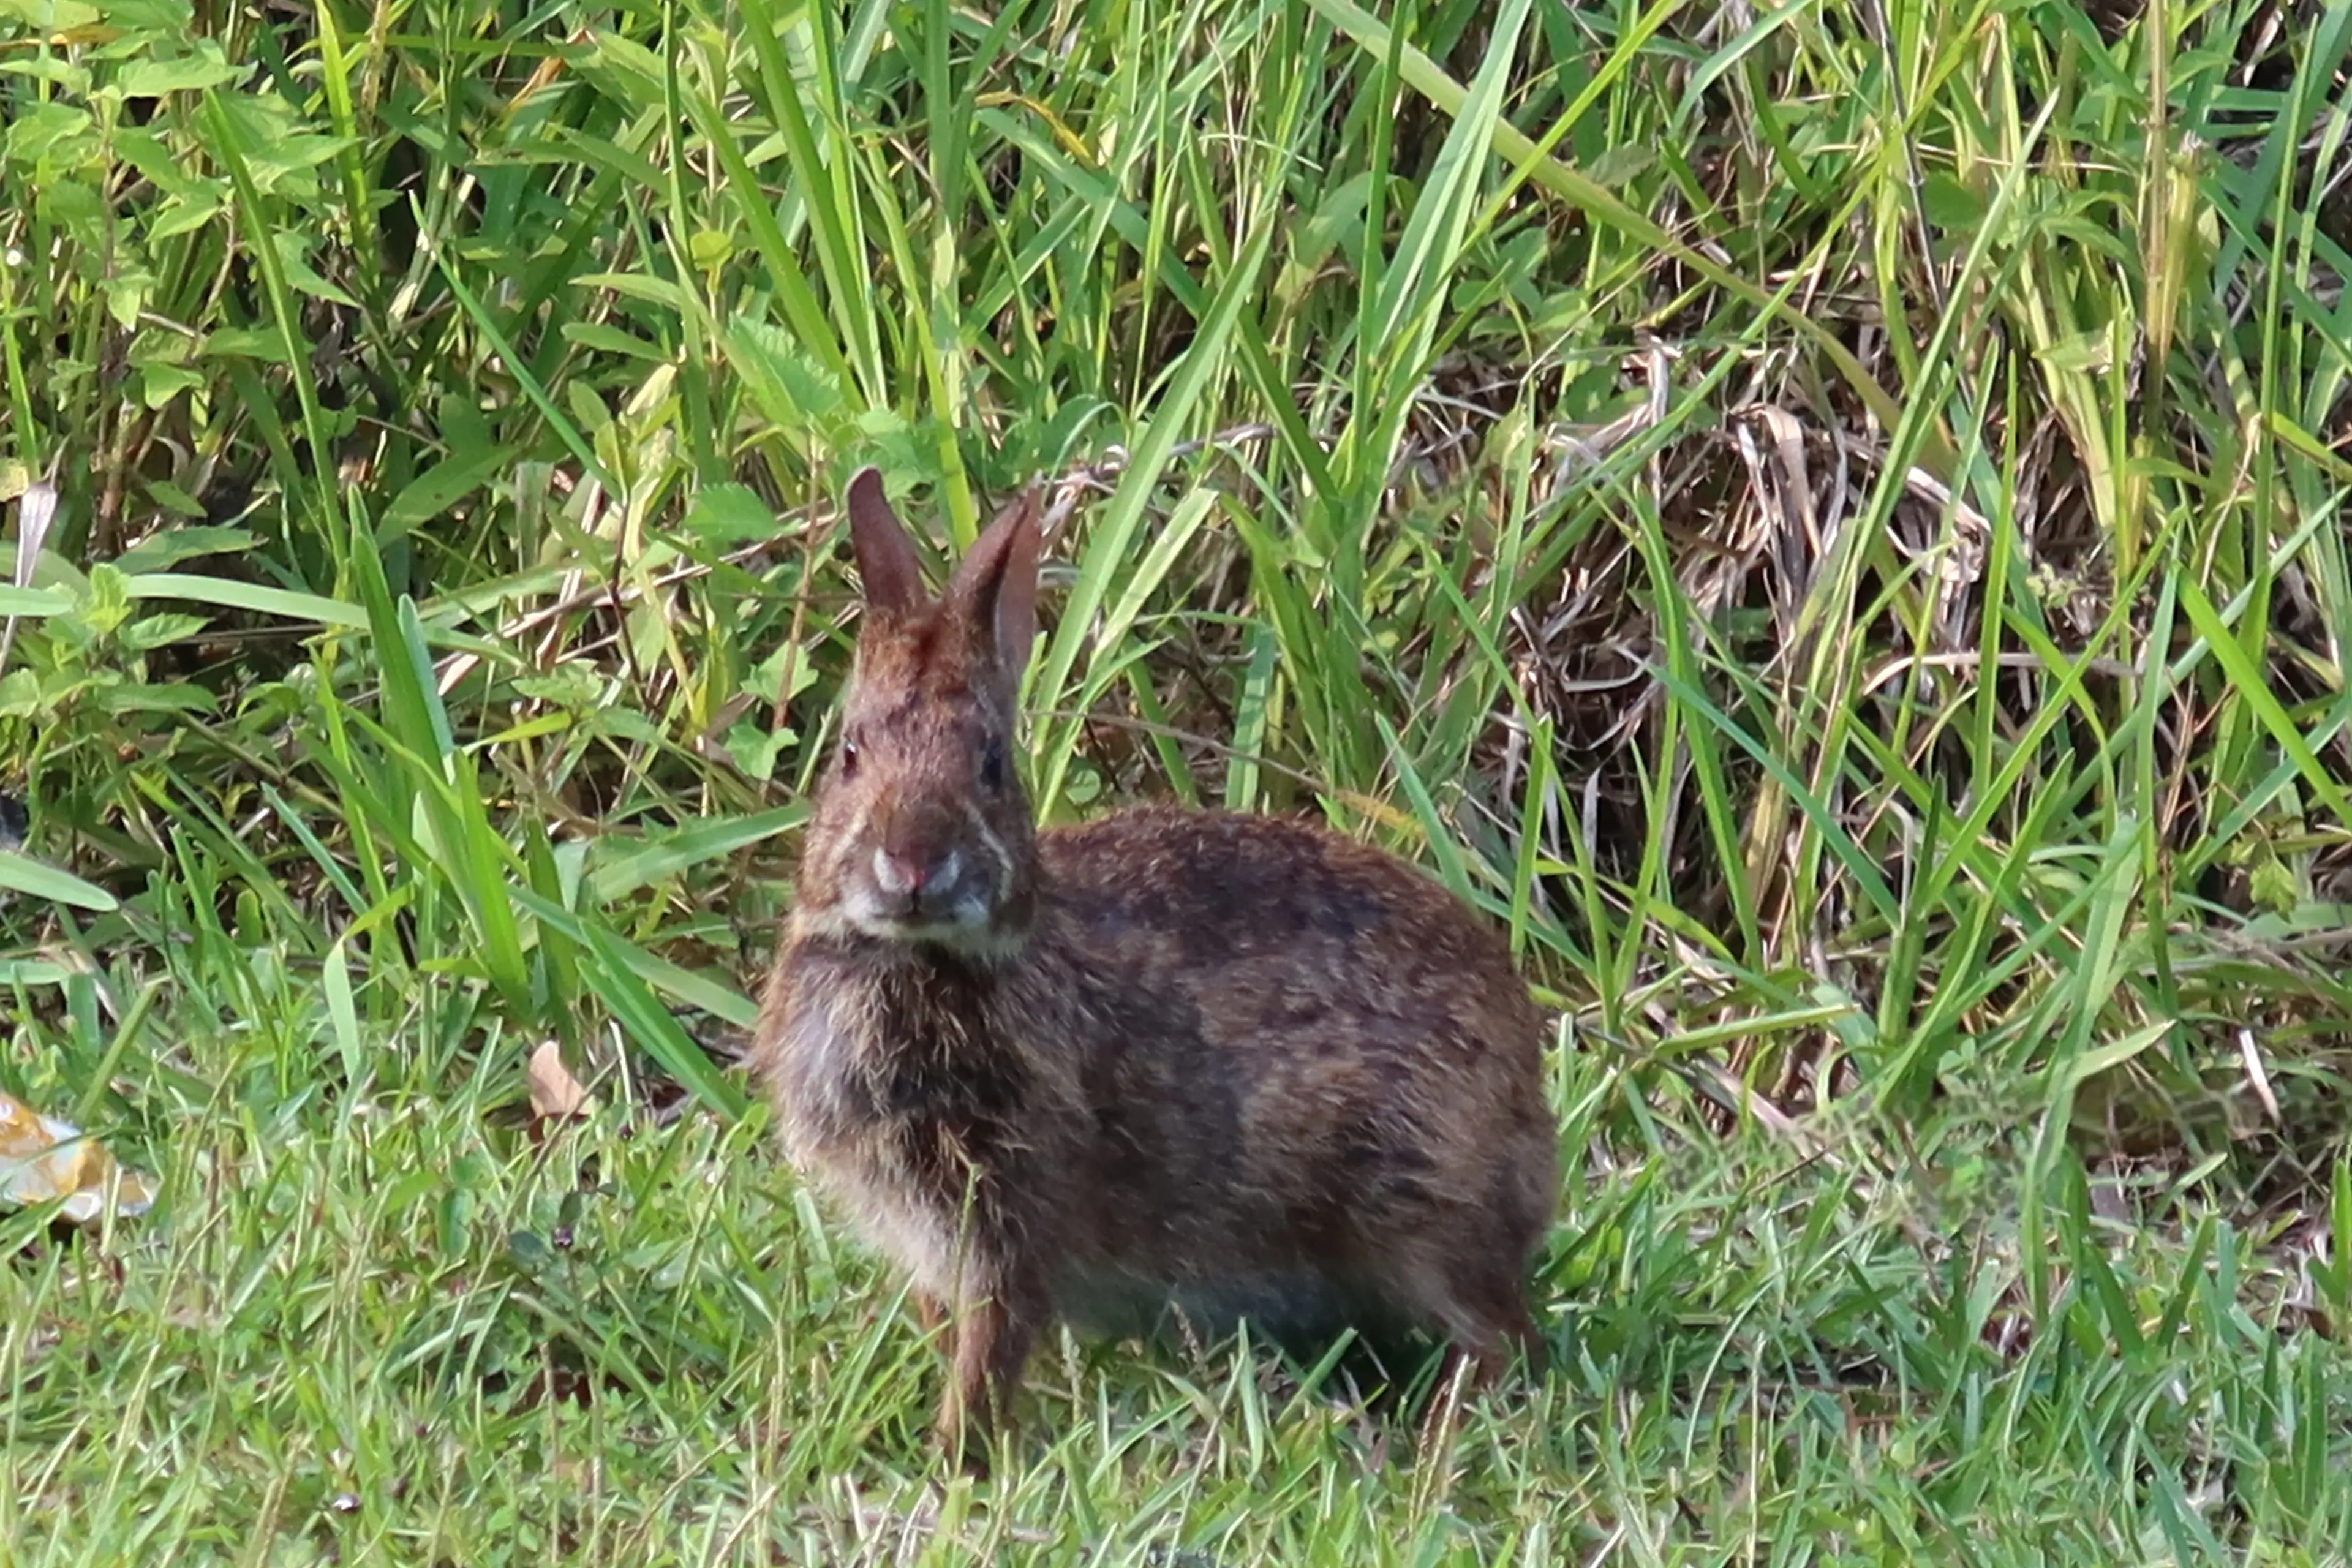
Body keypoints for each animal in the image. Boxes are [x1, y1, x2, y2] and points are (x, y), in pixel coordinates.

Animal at [751, 467, 1559, 1469]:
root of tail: (1532, 1125)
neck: (919, 959)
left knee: (1498, 1340)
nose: (912, 863)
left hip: (1415, 1205)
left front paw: (957, 1458)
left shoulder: (1012, 1218)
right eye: (849, 754)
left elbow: (992, 1341)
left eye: (991, 766)